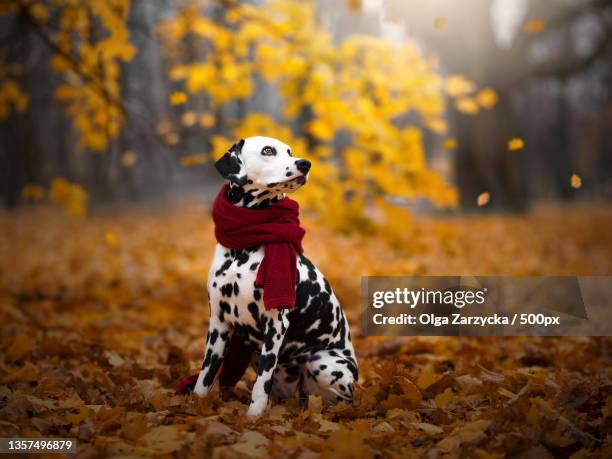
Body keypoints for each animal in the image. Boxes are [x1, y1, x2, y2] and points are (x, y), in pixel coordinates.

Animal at [195, 136, 358, 416]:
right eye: (268, 150)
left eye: (290, 152)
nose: (305, 163)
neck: (243, 246)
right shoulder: (218, 322)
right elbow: (205, 375)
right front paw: (192, 407)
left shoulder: (276, 324)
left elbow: (262, 382)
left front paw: (253, 417)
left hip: (324, 363)